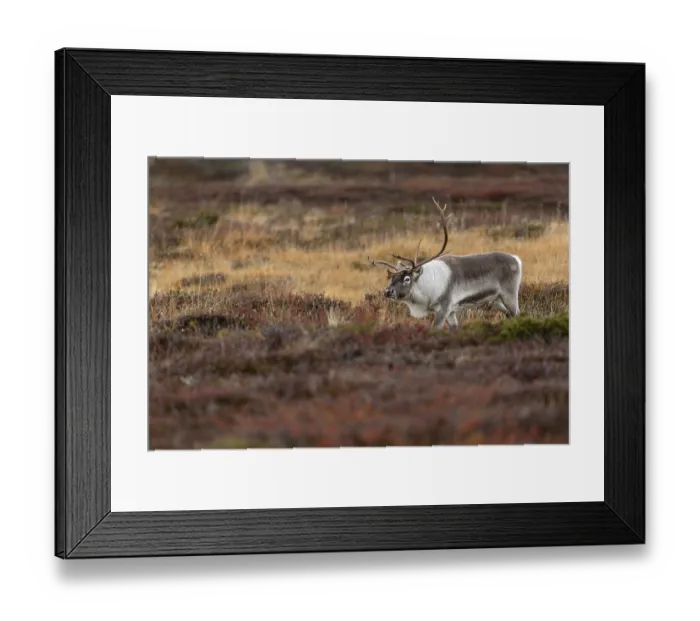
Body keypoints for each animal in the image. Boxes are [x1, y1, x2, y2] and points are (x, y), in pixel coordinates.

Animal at [368, 197, 523, 330]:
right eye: (392, 278)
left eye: (407, 278)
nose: (387, 291)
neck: (426, 288)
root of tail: (516, 259)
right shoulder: (451, 312)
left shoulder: (444, 308)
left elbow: (435, 328)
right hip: (496, 300)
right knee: (510, 314)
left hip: (509, 294)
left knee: (517, 313)